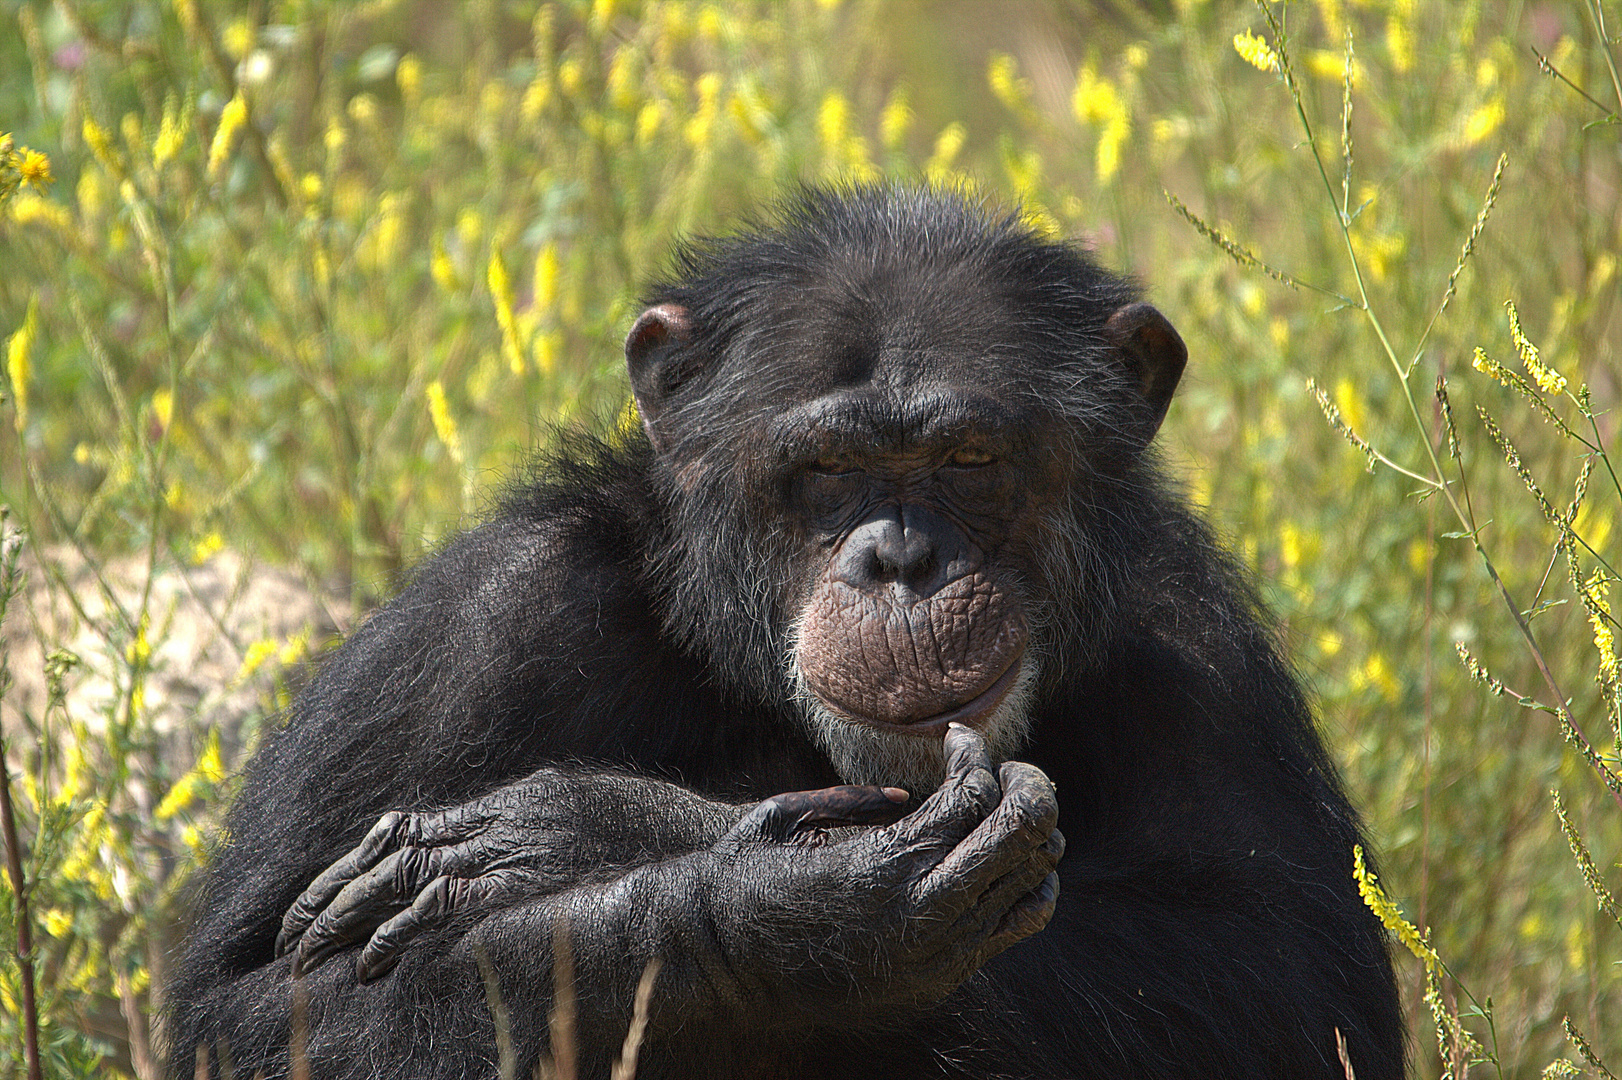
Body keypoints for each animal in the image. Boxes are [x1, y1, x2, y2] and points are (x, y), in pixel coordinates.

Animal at [167, 187, 1407, 1076]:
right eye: (827, 469)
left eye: (967, 459)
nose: (899, 561)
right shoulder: (475, 629)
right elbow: (253, 1010)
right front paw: (797, 908)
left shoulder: (1189, 638)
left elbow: (1290, 977)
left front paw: (588, 826)